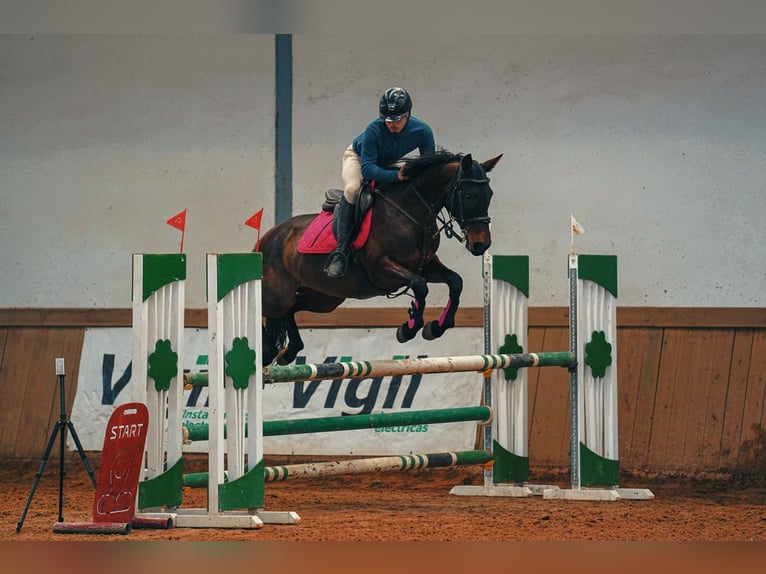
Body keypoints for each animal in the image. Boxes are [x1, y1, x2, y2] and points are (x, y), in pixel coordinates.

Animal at [257, 150, 502, 366]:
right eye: (469, 195)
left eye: (490, 195)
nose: (481, 244)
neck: (410, 213)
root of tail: (268, 237)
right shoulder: (382, 269)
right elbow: (420, 285)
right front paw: (408, 328)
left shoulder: (427, 265)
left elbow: (455, 282)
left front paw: (435, 327)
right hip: (277, 296)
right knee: (270, 311)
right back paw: (268, 352)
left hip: (325, 298)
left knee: (292, 309)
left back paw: (288, 352)